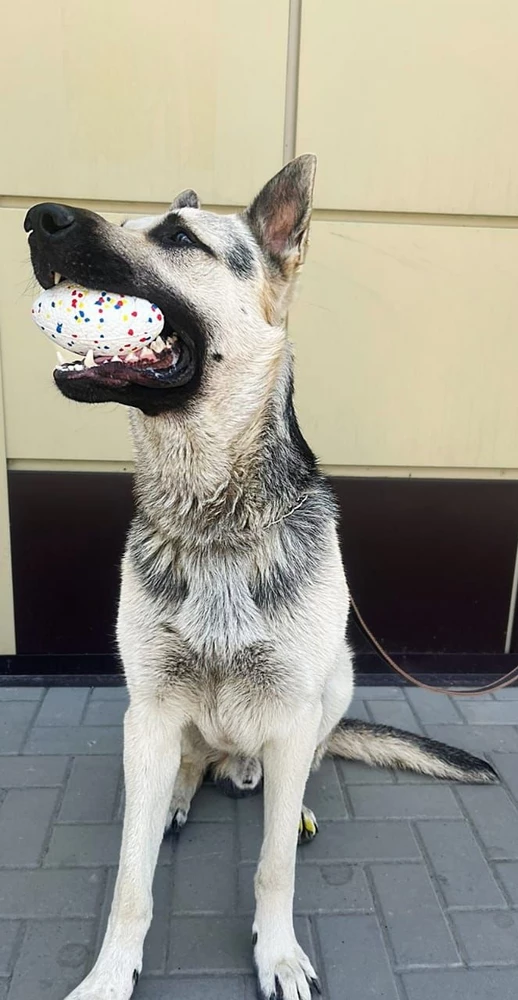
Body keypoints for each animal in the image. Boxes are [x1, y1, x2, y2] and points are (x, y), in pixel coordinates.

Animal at [25, 156, 500, 1000]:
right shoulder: (150, 710)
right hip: (162, 722)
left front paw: (276, 955)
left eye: (179, 238)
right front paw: (111, 973)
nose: (37, 219)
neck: (213, 520)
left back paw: (282, 788)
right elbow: (130, 880)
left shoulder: (291, 707)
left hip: (336, 677)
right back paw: (183, 792)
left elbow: (273, 866)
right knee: (193, 761)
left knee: (303, 756)